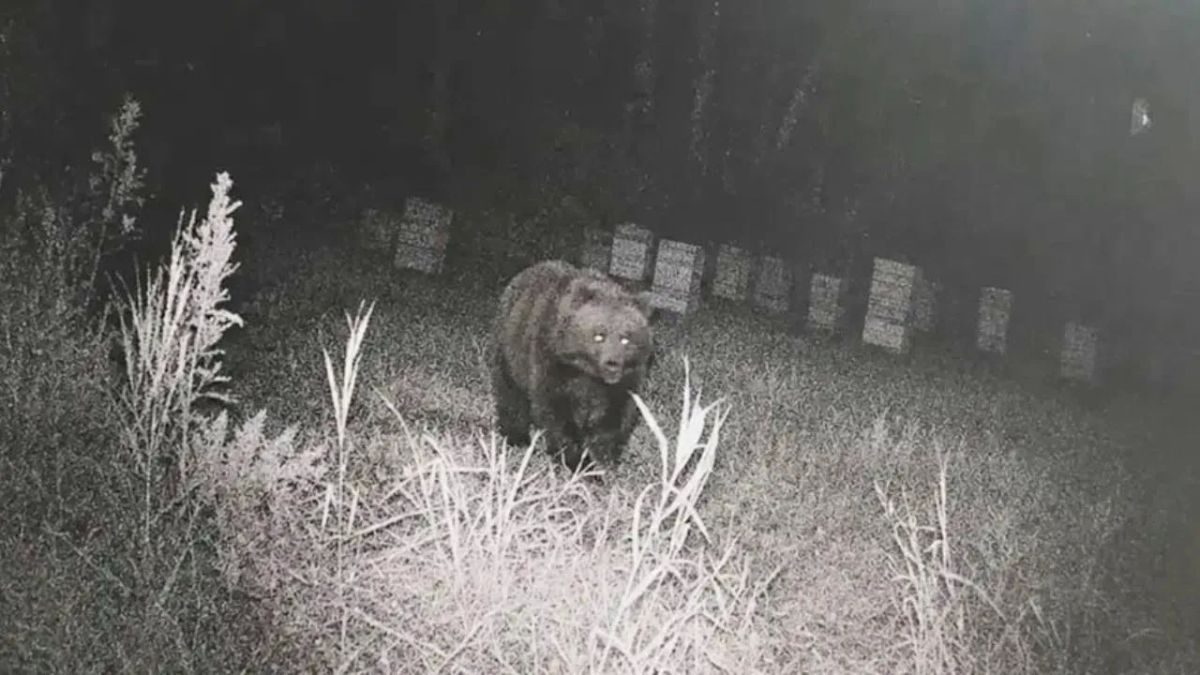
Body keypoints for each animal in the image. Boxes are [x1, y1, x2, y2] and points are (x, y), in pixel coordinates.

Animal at [491, 260, 655, 471]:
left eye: (626, 338)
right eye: (599, 335)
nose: (612, 364)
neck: (587, 373)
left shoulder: (628, 376)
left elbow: (616, 414)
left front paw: (603, 458)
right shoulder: (551, 361)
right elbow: (556, 411)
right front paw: (575, 460)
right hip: (511, 347)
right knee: (510, 389)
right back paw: (516, 436)